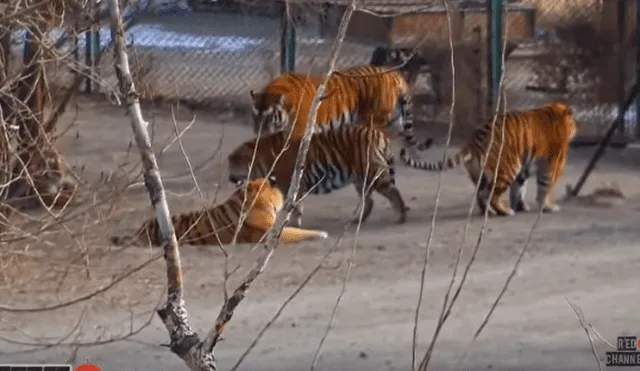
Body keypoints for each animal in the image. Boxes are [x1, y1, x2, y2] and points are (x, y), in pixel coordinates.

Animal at [228, 124, 418, 227]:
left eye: (233, 165)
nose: (230, 178)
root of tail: (380, 134)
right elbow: (297, 206)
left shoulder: (289, 183)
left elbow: (293, 206)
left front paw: (290, 223)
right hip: (361, 178)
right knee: (369, 200)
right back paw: (358, 220)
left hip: (373, 173)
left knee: (393, 192)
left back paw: (401, 217)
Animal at [250, 65, 430, 160]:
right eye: (255, 115)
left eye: (268, 116)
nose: (258, 132)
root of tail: (393, 73)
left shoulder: (298, 132)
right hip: (392, 118)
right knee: (399, 133)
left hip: (375, 119)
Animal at [400, 102, 576, 218]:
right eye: (574, 122)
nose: (576, 128)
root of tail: (473, 141)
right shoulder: (552, 164)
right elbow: (544, 187)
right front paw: (547, 207)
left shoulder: (524, 167)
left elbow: (519, 188)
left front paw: (521, 206)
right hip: (507, 168)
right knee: (491, 195)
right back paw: (504, 211)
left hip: (479, 173)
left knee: (480, 195)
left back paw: (490, 212)